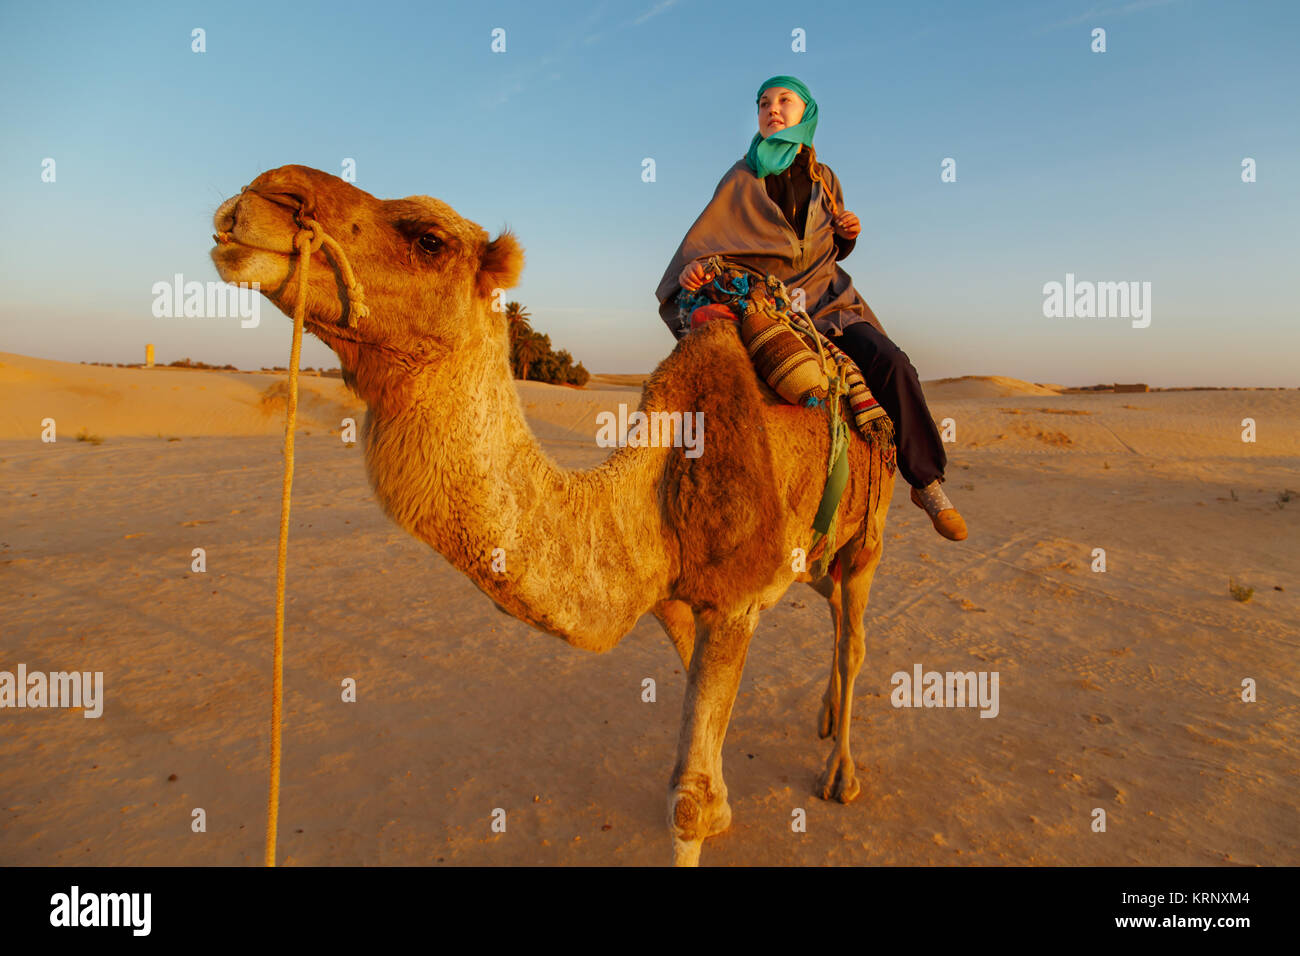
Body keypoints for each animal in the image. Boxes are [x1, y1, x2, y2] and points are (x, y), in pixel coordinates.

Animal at [209, 165, 896, 866]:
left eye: (429, 239)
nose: (267, 193)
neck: (656, 483)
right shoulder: (675, 600)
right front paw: (729, 806)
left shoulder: (734, 599)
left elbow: (689, 798)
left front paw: (715, 808)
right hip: (818, 549)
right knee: (830, 601)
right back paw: (822, 717)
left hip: (871, 531)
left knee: (854, 637)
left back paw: (841, 775)